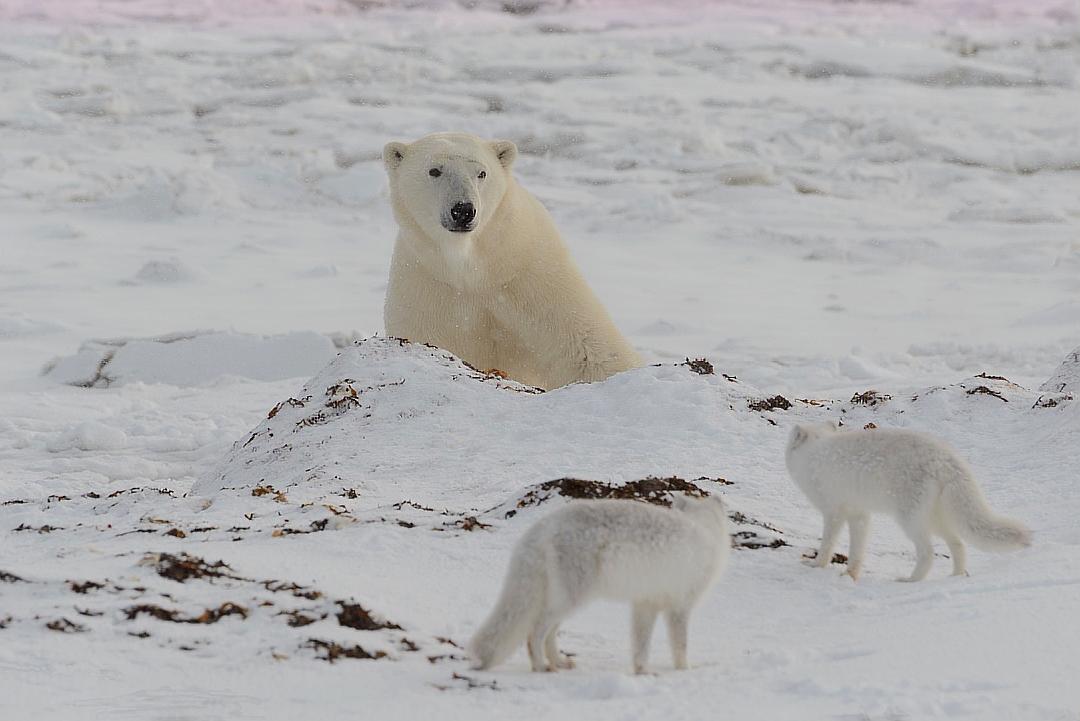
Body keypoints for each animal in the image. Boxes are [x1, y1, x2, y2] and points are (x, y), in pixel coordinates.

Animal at [384, 131, 643, 388]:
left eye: (482, 172)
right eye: (434, 170)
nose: (463, 210)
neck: (473, 267)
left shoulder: (533, 274)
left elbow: (585, 345)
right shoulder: (427, 285)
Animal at [468, 496, 730, 677]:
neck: (704, 529)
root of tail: (541, 527)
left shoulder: (645, 604)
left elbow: (640, 644)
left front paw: (642, 671)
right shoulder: (679, 607)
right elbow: (680, 644)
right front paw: (685, 670)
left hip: (566, 600)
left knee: (550, 634)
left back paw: (559, 662)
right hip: (571, 599)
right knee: (536, 632)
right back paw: (541, 666)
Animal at [786, 423, 1028, 578]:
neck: (813, 452)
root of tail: (944, 457)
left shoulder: (833, 511)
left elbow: (827, 543)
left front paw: (816, 564)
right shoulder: (859, 513)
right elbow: (857, 549)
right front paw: (850, 575)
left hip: (910, 518)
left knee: (928, 553)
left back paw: (910, 581)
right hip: (935, 518)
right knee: (958, 544)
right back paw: (956, 576)